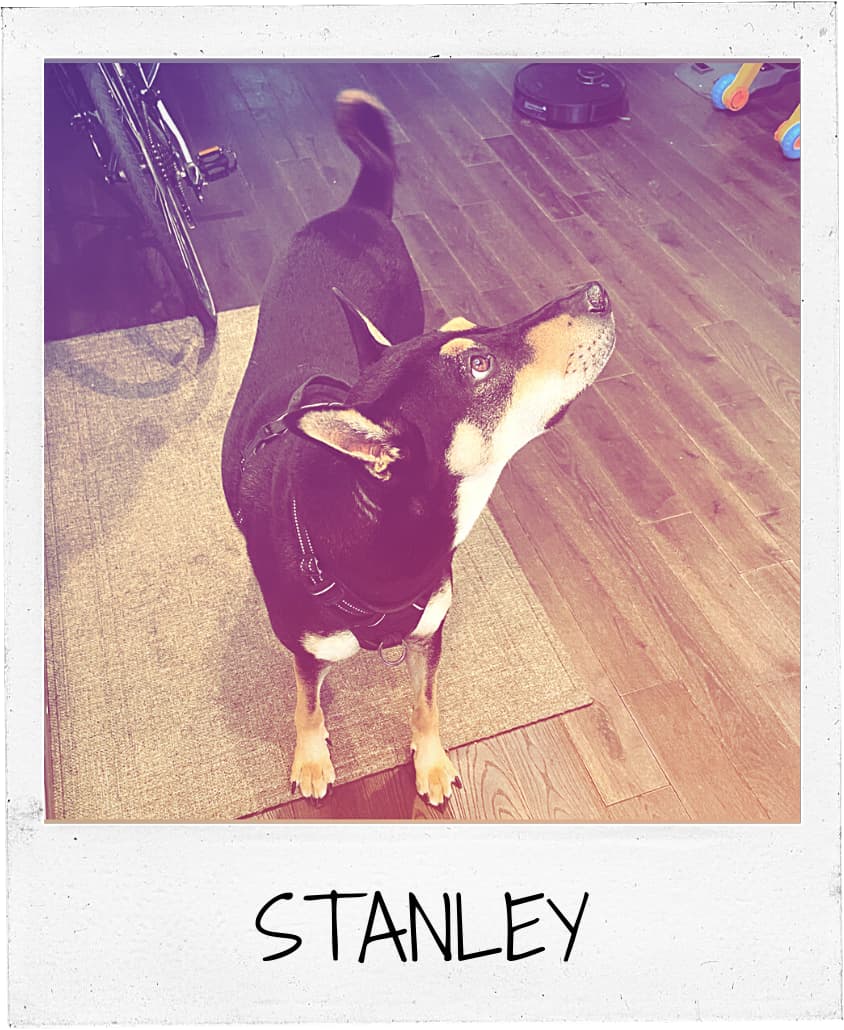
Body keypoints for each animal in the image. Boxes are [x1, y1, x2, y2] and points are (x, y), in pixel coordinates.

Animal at [221, 88, 618, 807]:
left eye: (473, 334)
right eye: (480, 367)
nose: (597, 291)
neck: (390, 536)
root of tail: (356, 209)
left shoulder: (431, 629)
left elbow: (426, 700)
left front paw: (430, 761)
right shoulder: (303, 646)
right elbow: (306, 699)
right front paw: (312, 758)